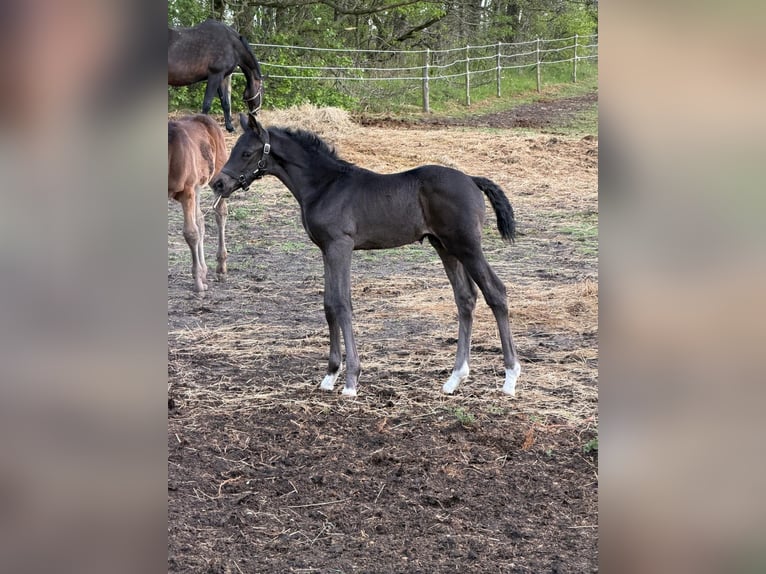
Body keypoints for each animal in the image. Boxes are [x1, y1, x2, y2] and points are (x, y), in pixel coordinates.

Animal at [168, 114, 229, 292]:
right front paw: (200, 276)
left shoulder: (187, 191)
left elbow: (190, 233)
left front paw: (198, 284)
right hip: (197, 186)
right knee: (201, 220)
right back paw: (204, 271)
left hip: (216, 177)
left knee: (220, 212)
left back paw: (221, 267)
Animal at [210, 113, 522, 397]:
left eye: (247, 152)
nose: (218, 184)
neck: (325, 186)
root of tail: (471, 179)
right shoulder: (326, 249)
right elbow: (328, 305)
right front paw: (329, 375)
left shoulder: (341, 246)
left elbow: (342, 304)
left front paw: (351, 381)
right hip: (444, 246)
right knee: (465, 298)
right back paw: (454, 378)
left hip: (467, 245)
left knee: (496, 292)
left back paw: (510, 378)